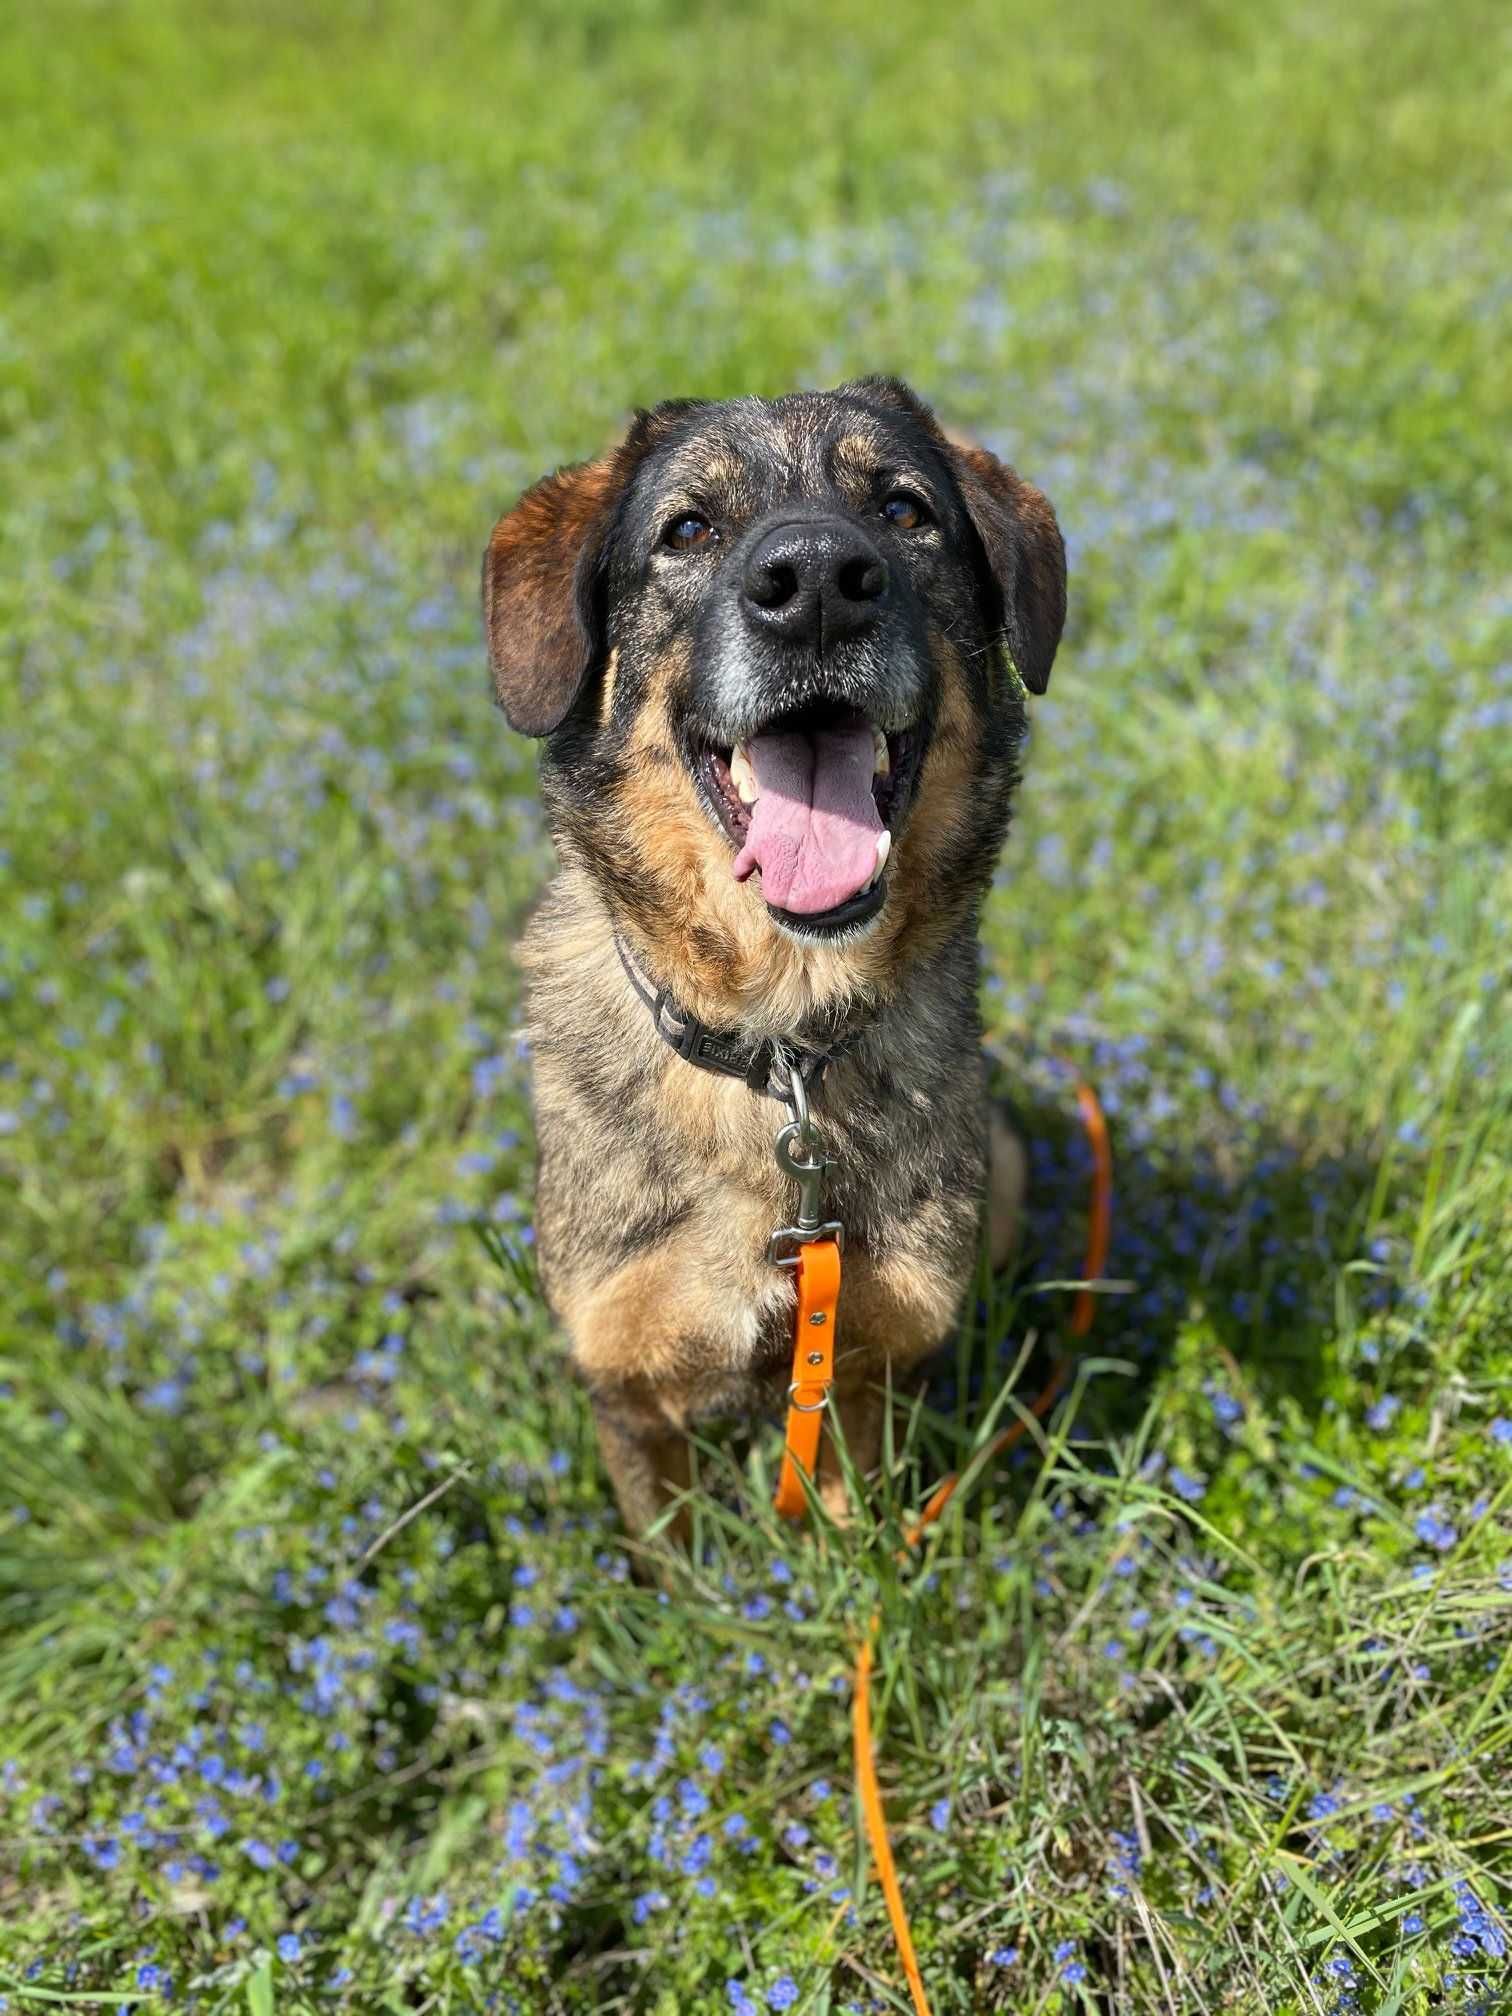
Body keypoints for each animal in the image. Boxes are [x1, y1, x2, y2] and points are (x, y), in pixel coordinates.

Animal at [481, 374, 1064, 1540]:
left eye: (903, 510)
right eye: (688, 530)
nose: (817, 588)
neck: (779, 1044)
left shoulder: (865, 1362)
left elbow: (851, 1524)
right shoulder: (630, 1381)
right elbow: (672, 1555)